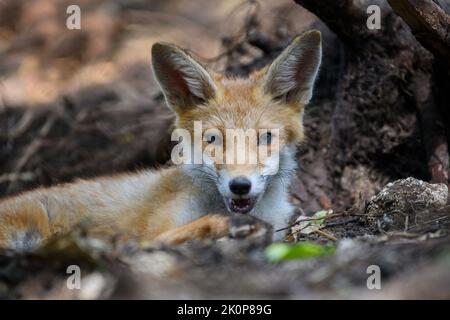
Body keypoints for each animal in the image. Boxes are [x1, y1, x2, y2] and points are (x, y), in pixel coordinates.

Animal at [0, 30, 324, 250]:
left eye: (265, 137)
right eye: (213, 139)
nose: (240, 185)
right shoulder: (153, 231)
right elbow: (160, 238)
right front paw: (225, 228)